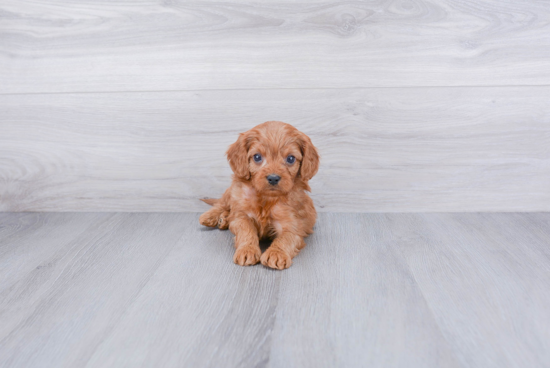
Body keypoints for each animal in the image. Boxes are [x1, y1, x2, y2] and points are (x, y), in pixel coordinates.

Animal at [199, 122, 320, 268]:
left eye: (290, 158)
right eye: (257, 157)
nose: (273, 178)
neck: (266, 198)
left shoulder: (291, 224)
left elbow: (286, 238)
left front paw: (276, 253)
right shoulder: (242, 215)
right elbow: (246, 231)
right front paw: (247, 250)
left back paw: (224, 219)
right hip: (232, 192)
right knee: (221, 204)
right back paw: (211, 216)